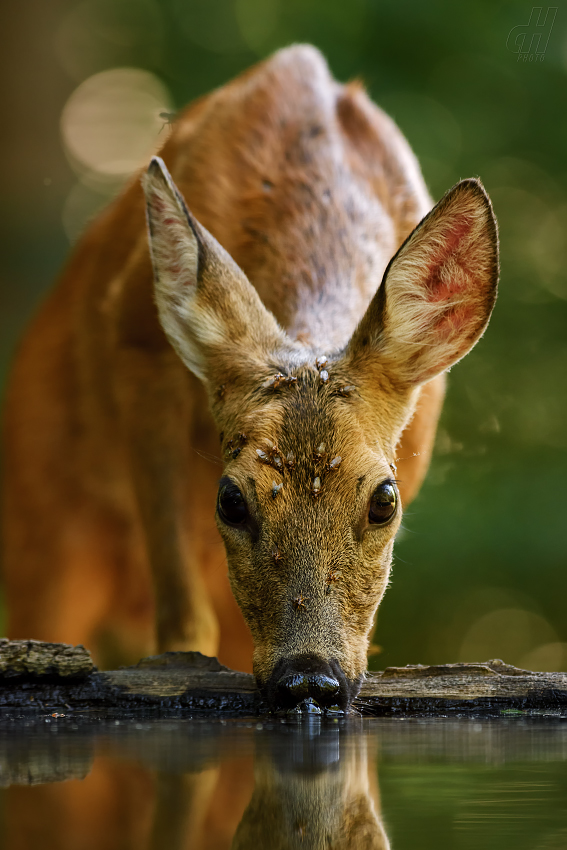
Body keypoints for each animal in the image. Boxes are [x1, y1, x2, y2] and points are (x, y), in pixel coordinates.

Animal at [1, 46, 496, 708]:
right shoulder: (138, 350)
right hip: (41, 524)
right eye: (231, 500)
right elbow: (182, 629)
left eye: (383, 501)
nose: (309, 677)